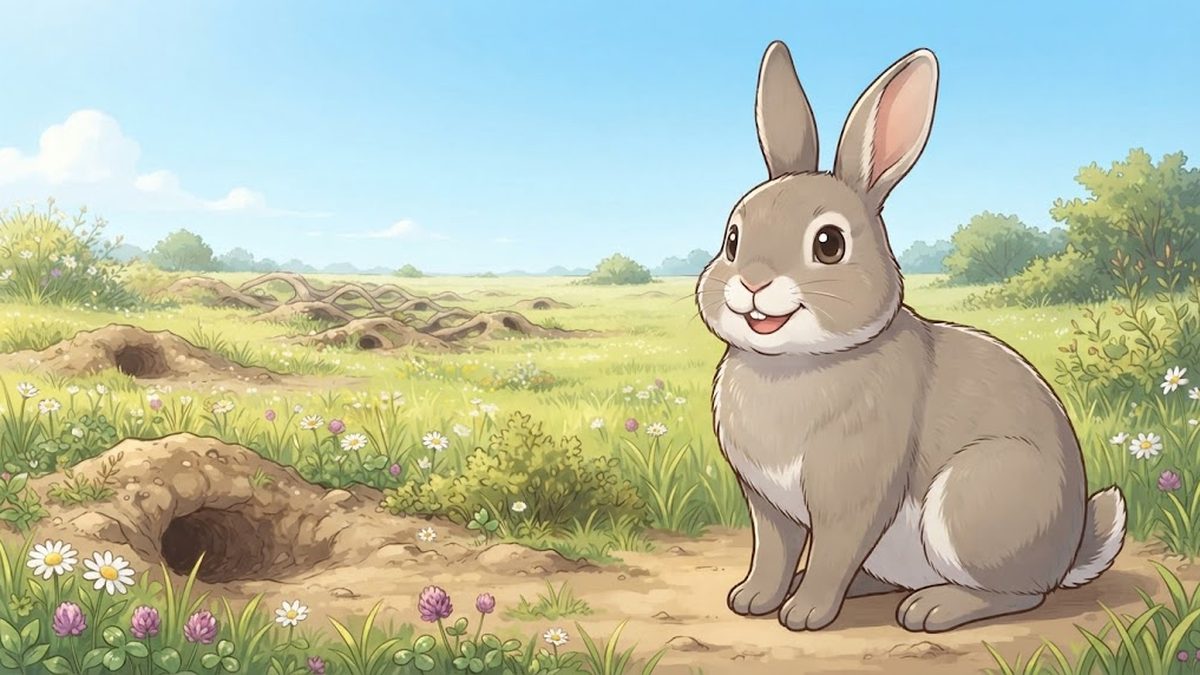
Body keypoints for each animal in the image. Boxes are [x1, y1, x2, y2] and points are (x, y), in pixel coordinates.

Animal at [695, 40, 1127, 633]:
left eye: (829, 244)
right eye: (733, 238)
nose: (753, 283)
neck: (797, 362)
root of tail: (1067, 555)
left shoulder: (852, 491)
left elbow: (832, 551)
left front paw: (804, 615)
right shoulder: (768, 501)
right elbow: (774, 552)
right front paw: (752, 600)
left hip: (974, 500)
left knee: (1020, 596)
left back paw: (932, 608)